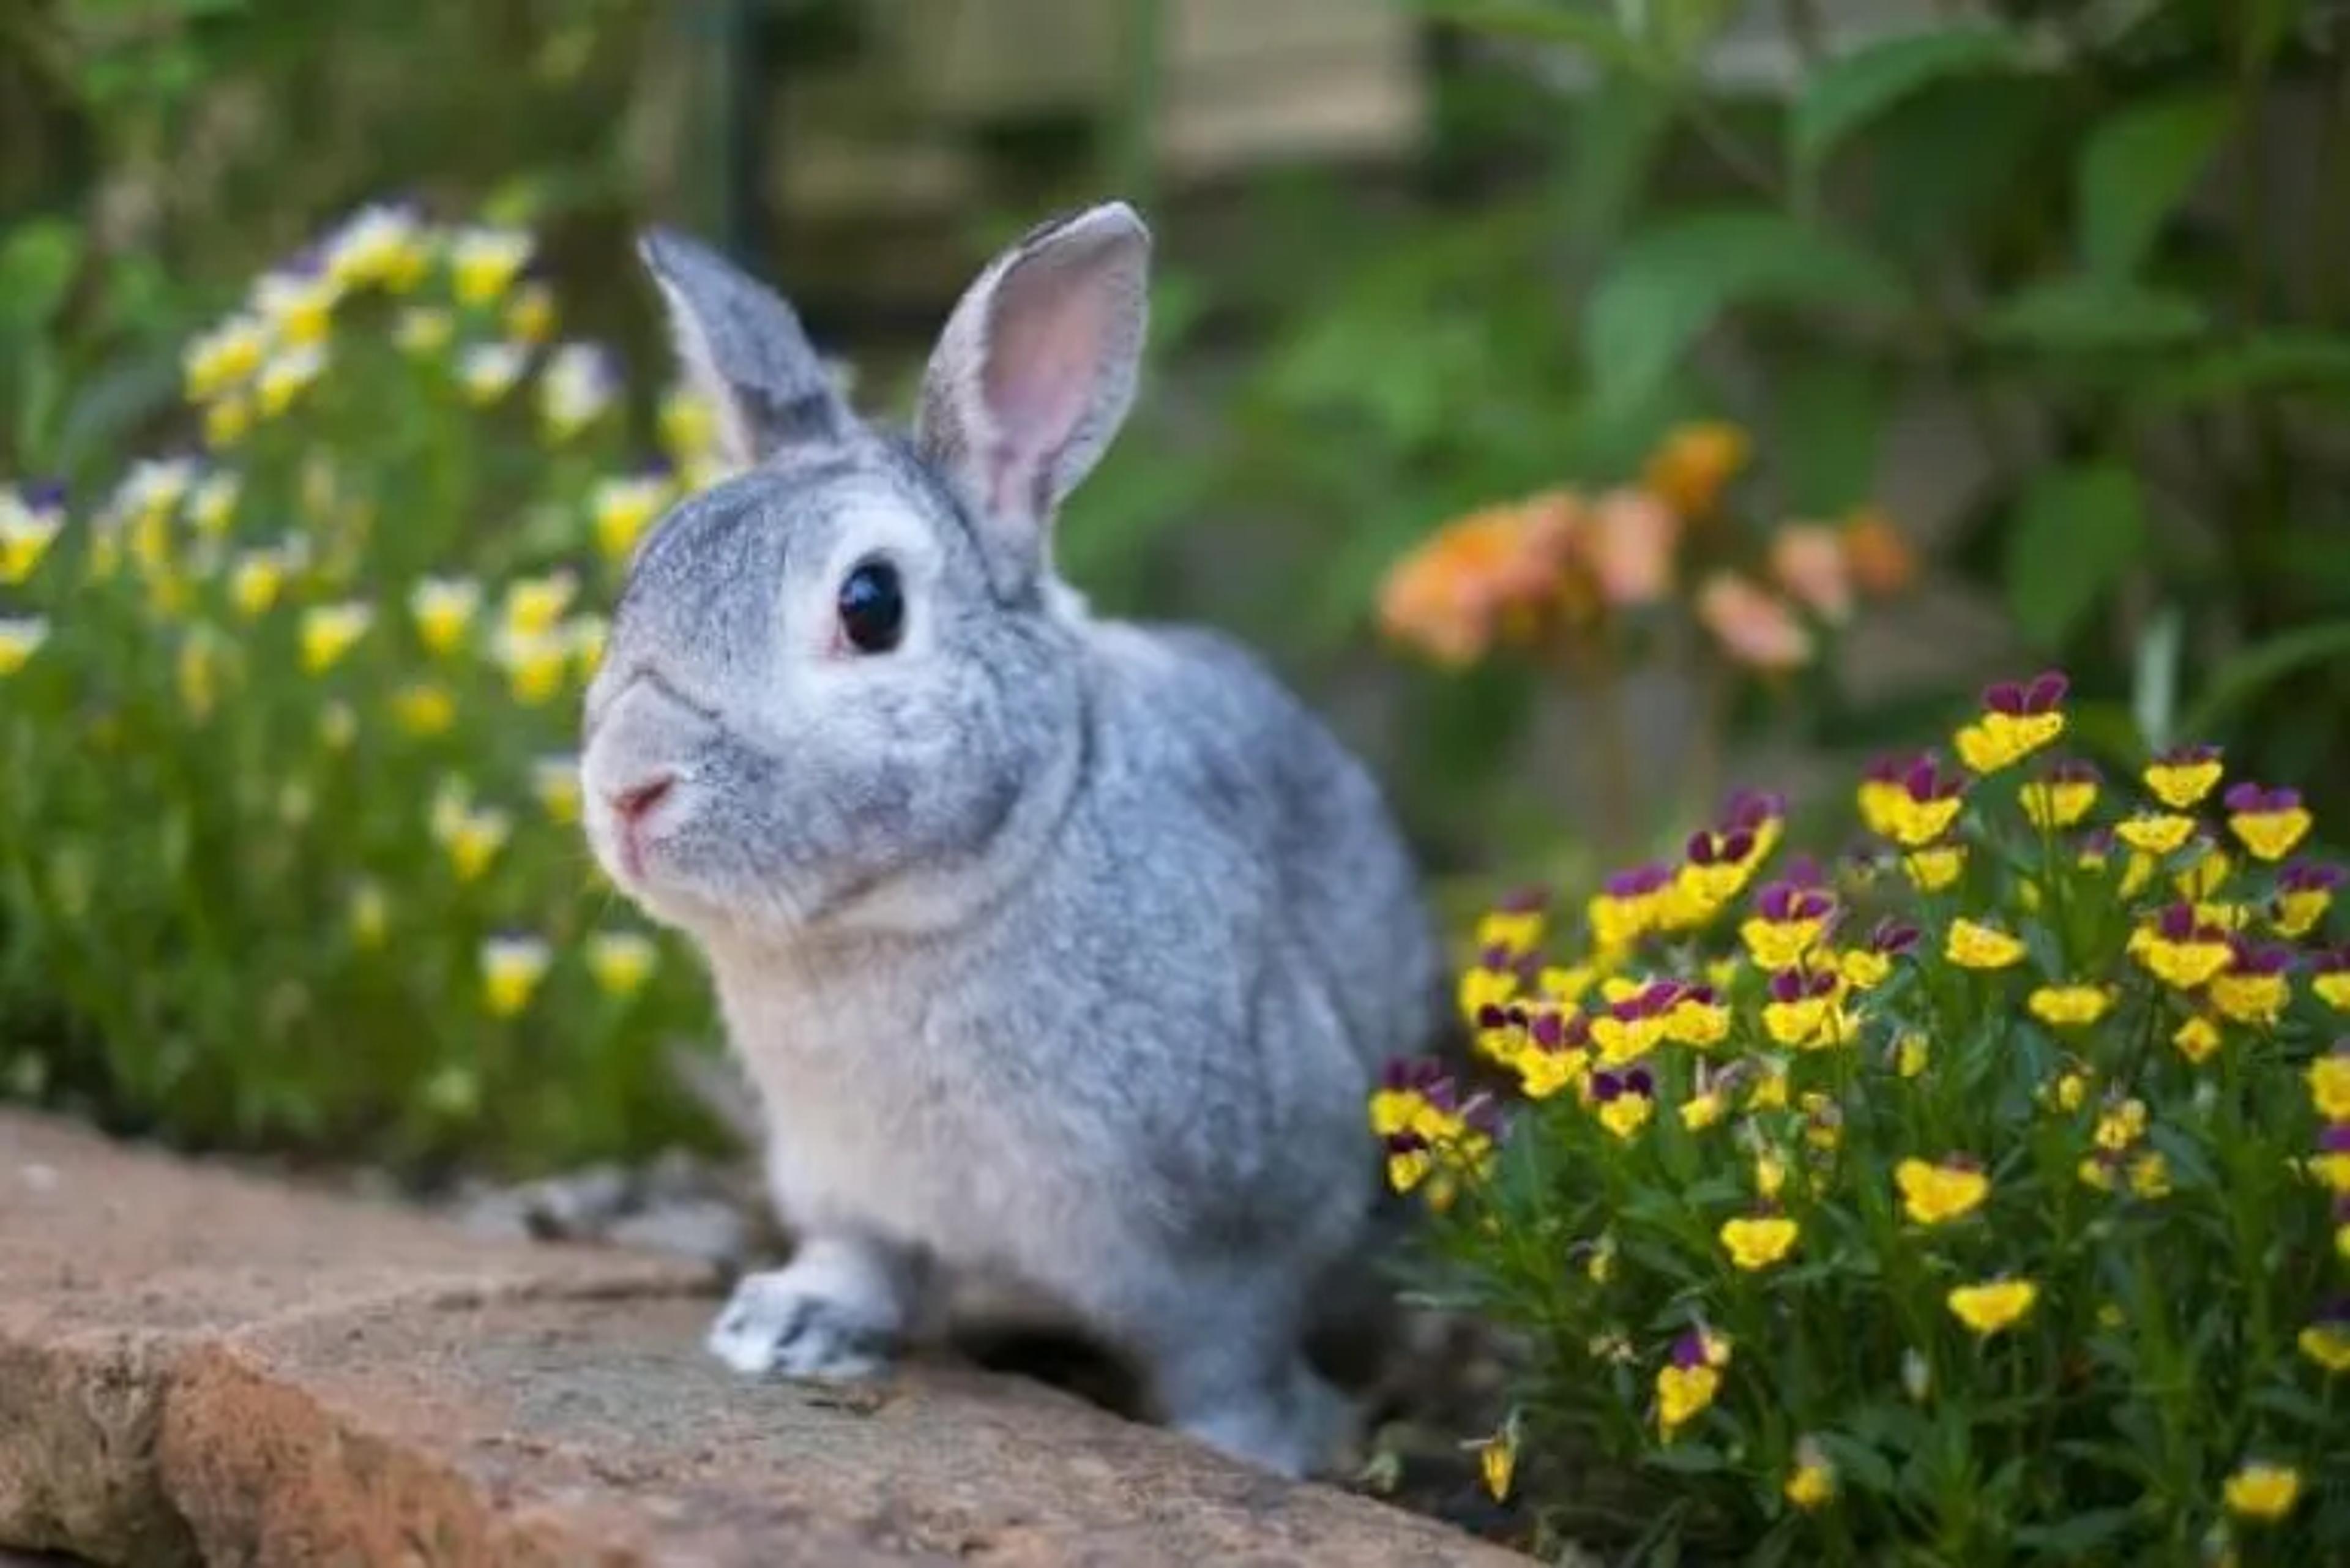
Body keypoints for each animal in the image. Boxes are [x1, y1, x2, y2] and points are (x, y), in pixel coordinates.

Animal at [577, 201, 1440, 1479]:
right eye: (647, 571)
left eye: (871, 605)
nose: (629, 785)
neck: (920, 912)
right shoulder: (843, 1176)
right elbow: (860, 1256)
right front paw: (785, 1327)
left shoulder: (1238, 1233)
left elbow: (1227, 1358)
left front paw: (1252, 1451)